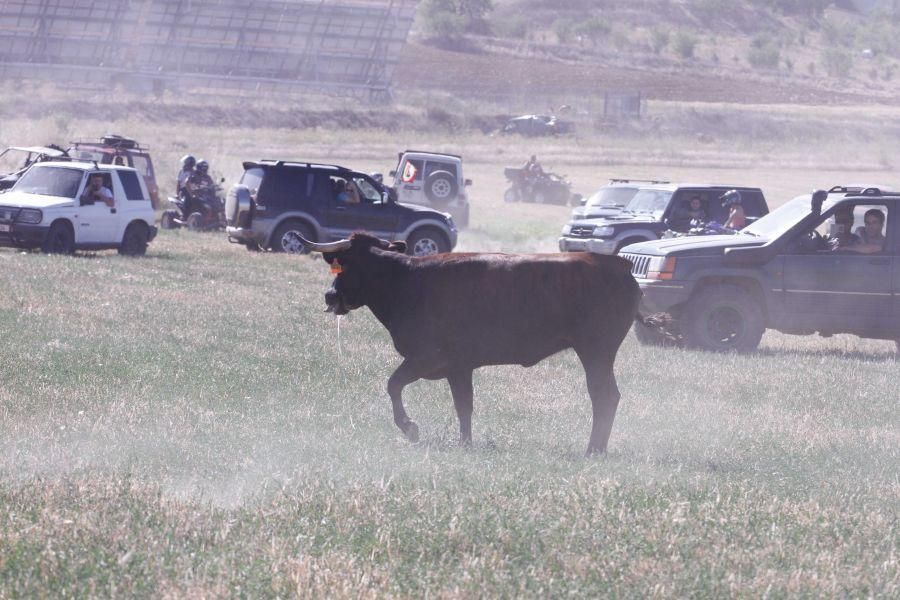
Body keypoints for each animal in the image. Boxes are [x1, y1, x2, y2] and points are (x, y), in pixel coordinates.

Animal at [306, 234, 656, 454]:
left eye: (346, 264)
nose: (330, 296)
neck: (407, 280)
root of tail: (616, 264)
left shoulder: (425, 358)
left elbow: (393, 384)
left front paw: (410, 428)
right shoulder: (459, 367)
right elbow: (464, 405)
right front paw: (465, 443)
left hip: (596, 352)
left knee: (604, 396)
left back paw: (593, 449)